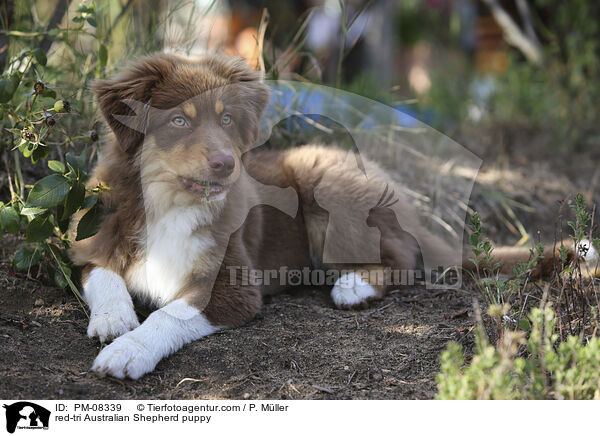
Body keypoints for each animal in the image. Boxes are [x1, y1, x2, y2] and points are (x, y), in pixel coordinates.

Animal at [69, 52, 592, 378]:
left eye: (226, 120)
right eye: (179, 121)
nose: (226, 164)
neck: (172, 203)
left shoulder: (234, 287)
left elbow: (169, 315)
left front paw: (127, 353)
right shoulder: (97, 235)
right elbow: (102, 274)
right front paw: (115, 322)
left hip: (326, 191)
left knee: (405, 256)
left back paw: (353, 286)